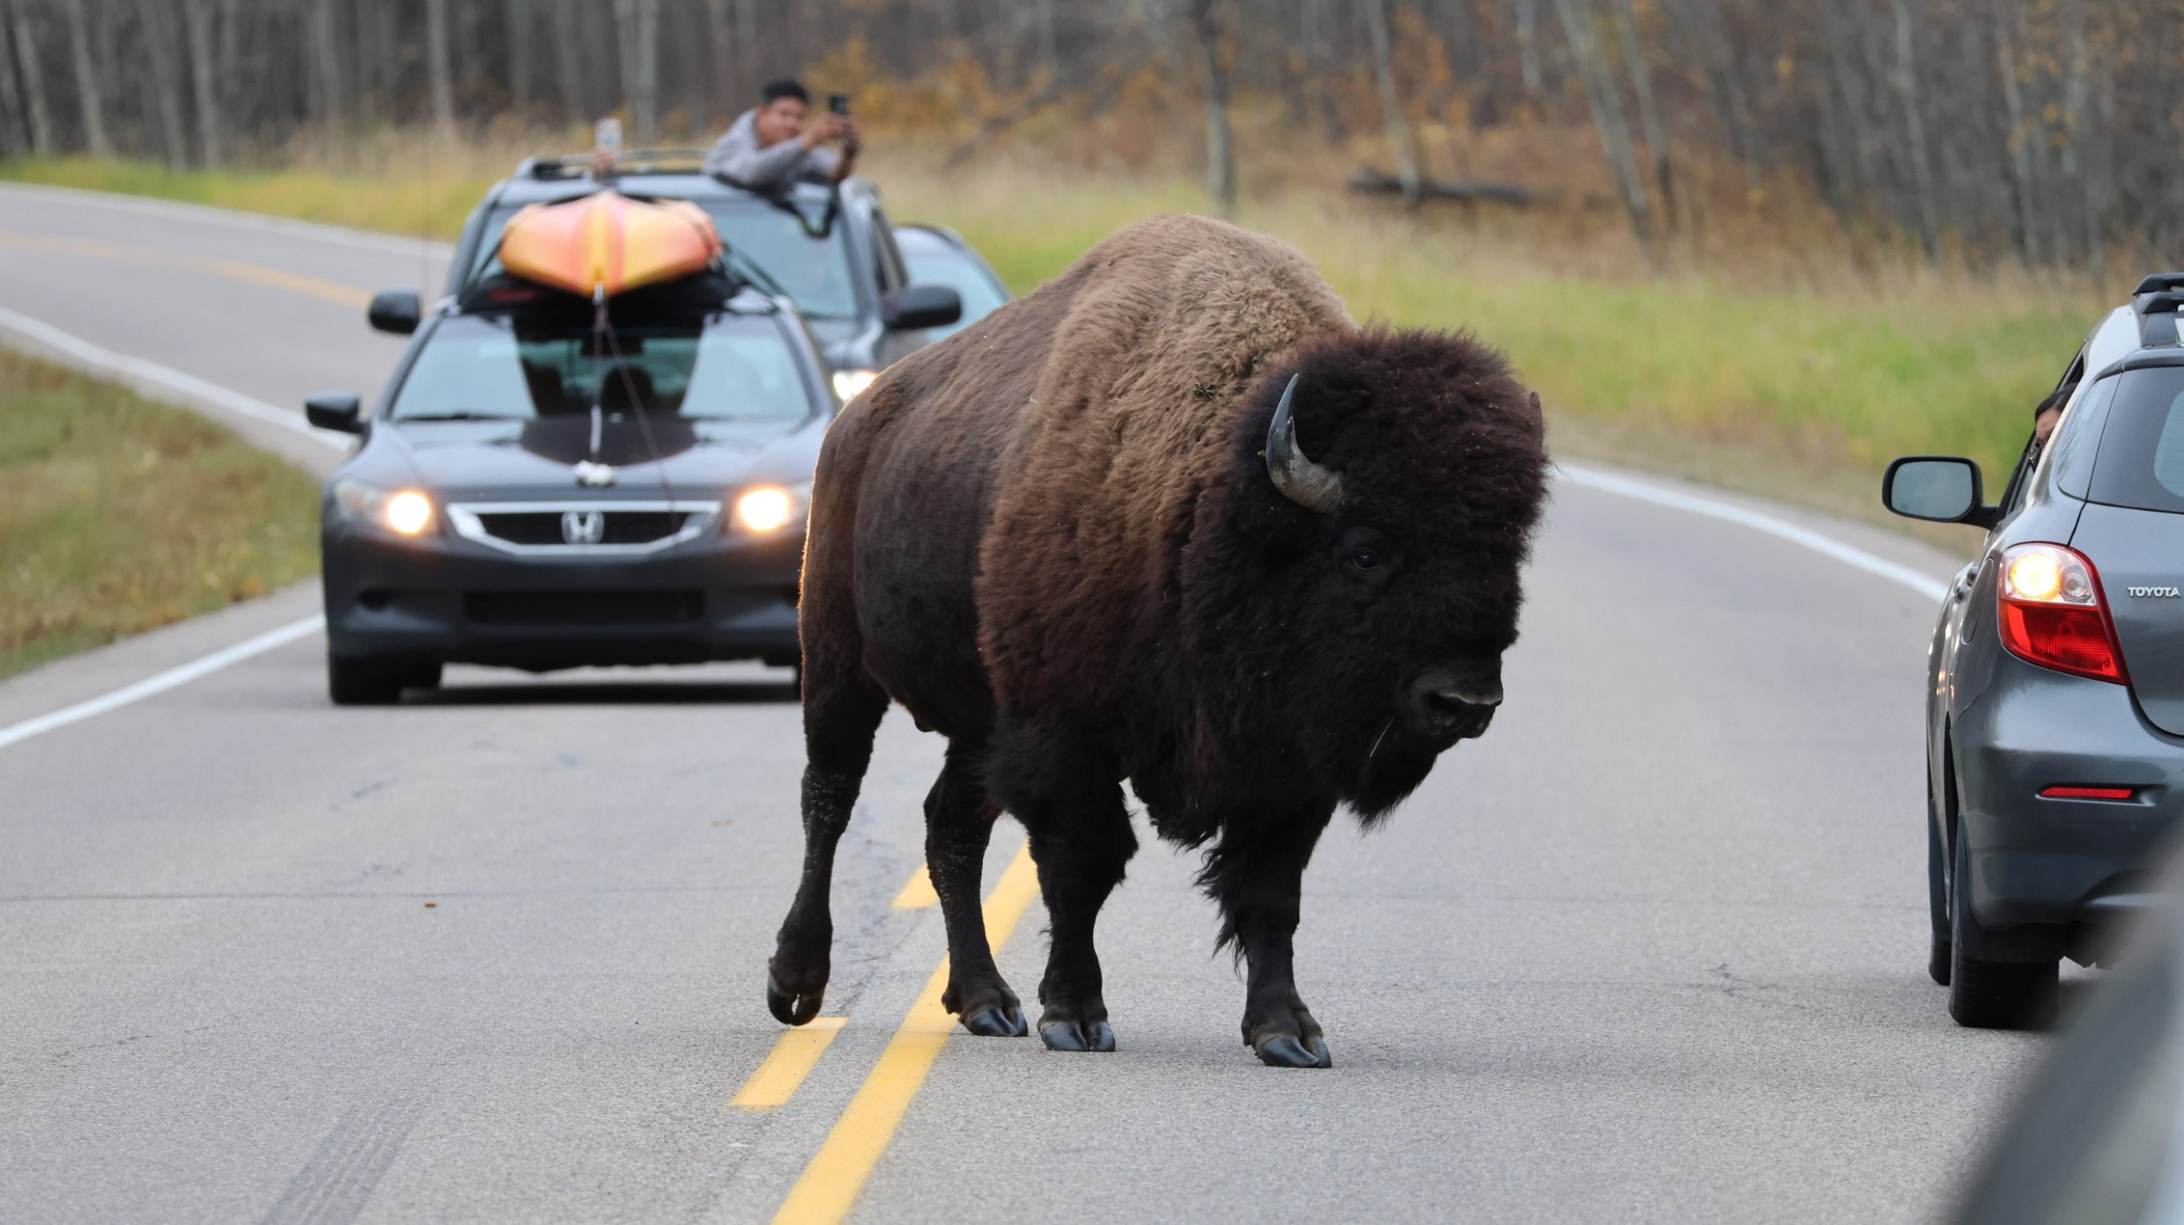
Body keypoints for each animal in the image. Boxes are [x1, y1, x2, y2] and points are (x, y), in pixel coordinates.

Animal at [765, 213, 1549, 1068]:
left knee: (950, 829)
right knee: (829, 801)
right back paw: (797, 983)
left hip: (978, 720)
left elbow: (1270, 893)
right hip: (837, 664)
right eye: (1367, 551)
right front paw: (1076, 1016)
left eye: (1506, 553)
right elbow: (1084, 867)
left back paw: (986, 1001)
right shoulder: (1064, 737)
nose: (1464, 699)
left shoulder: (1286, 768)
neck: (1214, 503)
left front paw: (1287, 1030)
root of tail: (856, 420)